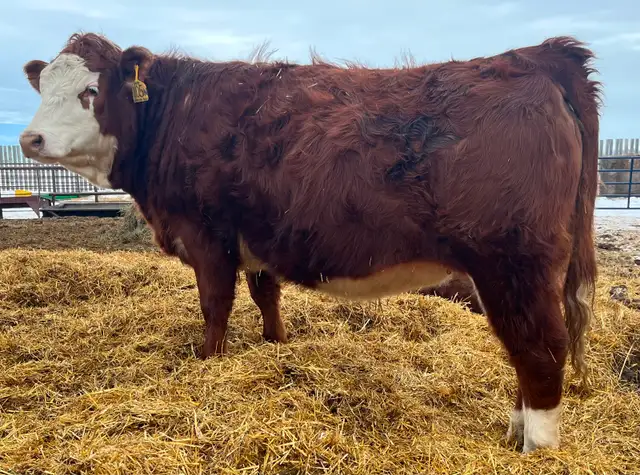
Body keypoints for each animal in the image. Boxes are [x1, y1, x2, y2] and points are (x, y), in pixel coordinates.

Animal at [18, 32, 601, 453]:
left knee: (541, 348)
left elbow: (215, 306)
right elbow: (265, 296)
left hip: (515, 262)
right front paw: (277, 347)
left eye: (90, 91)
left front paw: (208, 363)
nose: (30, 138)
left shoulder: (207, 236)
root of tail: (537, 55)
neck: (175, 114)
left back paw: (536, 451)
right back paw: (514, 433)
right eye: (42, 87)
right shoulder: (257, 240)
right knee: (526, 349)